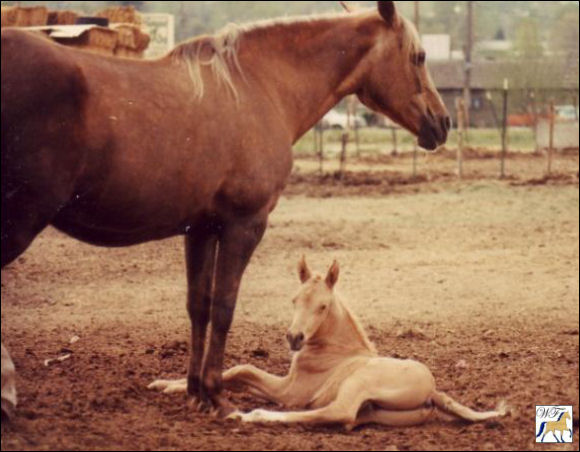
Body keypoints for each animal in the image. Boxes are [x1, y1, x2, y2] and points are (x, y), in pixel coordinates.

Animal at [0, 0, 450, 416]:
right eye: (419, 56)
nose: (442, 123)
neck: (258, 87)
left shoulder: (199, 230)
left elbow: (199, 306)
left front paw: (196, 392)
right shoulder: (243, 225)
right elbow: (224, 306)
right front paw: (217, 396)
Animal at [151, 258, 508, 428]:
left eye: (322, 306)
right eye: (294, 300)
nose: (294, 338)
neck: (335, 350)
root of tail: (433, 390)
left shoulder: (289, 390)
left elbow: (245, 368)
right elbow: (238, 372)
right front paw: (165, 385)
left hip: (358, 384)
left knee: (335, 411)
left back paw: (253, 416)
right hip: (376, 413)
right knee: (346, 420)